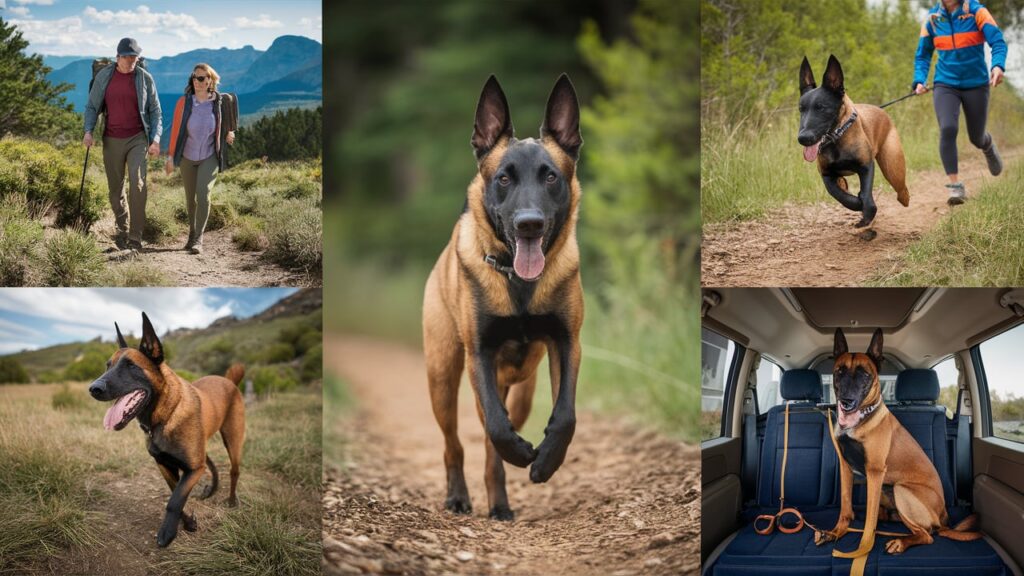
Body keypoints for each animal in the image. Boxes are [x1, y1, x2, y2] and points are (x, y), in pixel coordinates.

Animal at [88, 311, 245, 545]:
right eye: (108, 366)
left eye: (130, 365)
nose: (93, 389)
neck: (165, 416)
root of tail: (229, 381)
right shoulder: (166, 465)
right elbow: (175, 495)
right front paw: (188, 523)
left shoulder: (193, 469)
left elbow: (174, 501)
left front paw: (168, 532)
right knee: (212, 464)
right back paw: (211, 490)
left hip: (233, 441)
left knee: (234, 471)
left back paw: (232, 500)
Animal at [423, 73, 585, 518]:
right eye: (504, 178)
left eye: (551, 177)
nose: (529, 224)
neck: (518, 281)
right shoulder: (479, 352)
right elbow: (496, 425)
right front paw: (522, 453)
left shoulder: (567, 343)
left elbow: (565, 415)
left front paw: (546, 461)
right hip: (443, 376)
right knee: (456, 443)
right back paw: (459, 496)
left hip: (523, 388)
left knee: (491, 444)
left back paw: (499, 499)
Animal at [794, 54, 909, 238]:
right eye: (801, 109)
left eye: (821, 108)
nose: (803, 138)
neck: (837, 138)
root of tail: (880, 110)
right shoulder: (826, 174)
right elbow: (840, 195)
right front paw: (856, 203)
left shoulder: (866, 166)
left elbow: (867, 196)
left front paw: (866, 214)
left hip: (892, 167)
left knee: (901, 188)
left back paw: (904, 199)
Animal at [819, 327, 978, 557]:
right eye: (839, 371)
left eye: (865, 374)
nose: (846, 402)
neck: (860, 420)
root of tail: (943, 520)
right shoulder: (846, 468)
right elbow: (845, 506)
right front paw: (837, 531)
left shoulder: (875, 473)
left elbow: (869, 522)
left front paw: (863, 547)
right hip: (888, 491)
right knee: (892, 517)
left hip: (901, 490)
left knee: (927, 535)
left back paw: (901, 542)